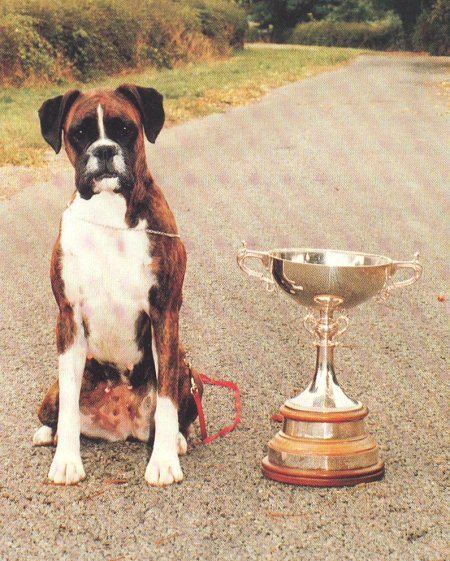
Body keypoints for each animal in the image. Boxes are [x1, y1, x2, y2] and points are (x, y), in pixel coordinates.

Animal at [34, 85, 202, 484]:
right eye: (79, 133)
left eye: (125, 128)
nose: (104, 150)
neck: (108, 212)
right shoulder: (68, 317)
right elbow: (68, 407)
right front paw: (67, 461)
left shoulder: (164, 313)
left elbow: (167, 401)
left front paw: (163, 462)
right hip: (53, 390)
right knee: (55, 412)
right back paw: (49, 434)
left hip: (186, 367)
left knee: (177, 407)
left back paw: (177, 440)